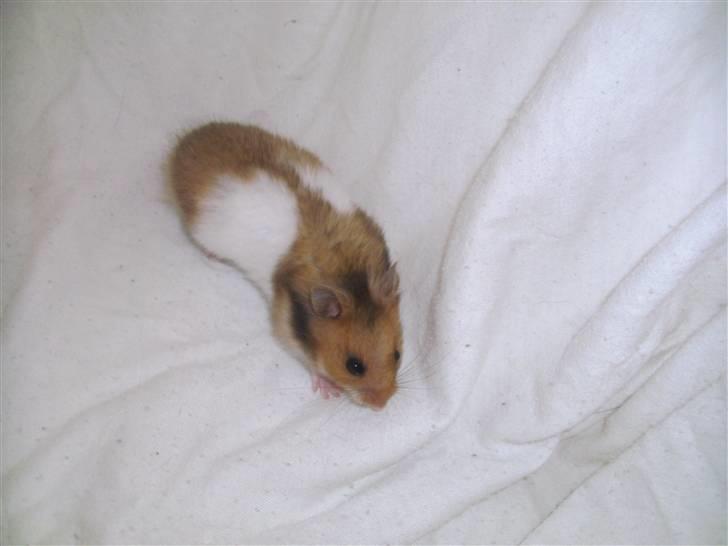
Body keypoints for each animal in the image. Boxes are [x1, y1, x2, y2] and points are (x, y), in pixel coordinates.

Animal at [170, 122, 402, 410]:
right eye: (354, 366)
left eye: (397, 354)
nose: (382, 405)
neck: (348, 272)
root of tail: (181, 146)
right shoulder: (285, 328)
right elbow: (310, 364)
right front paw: (329, 391)